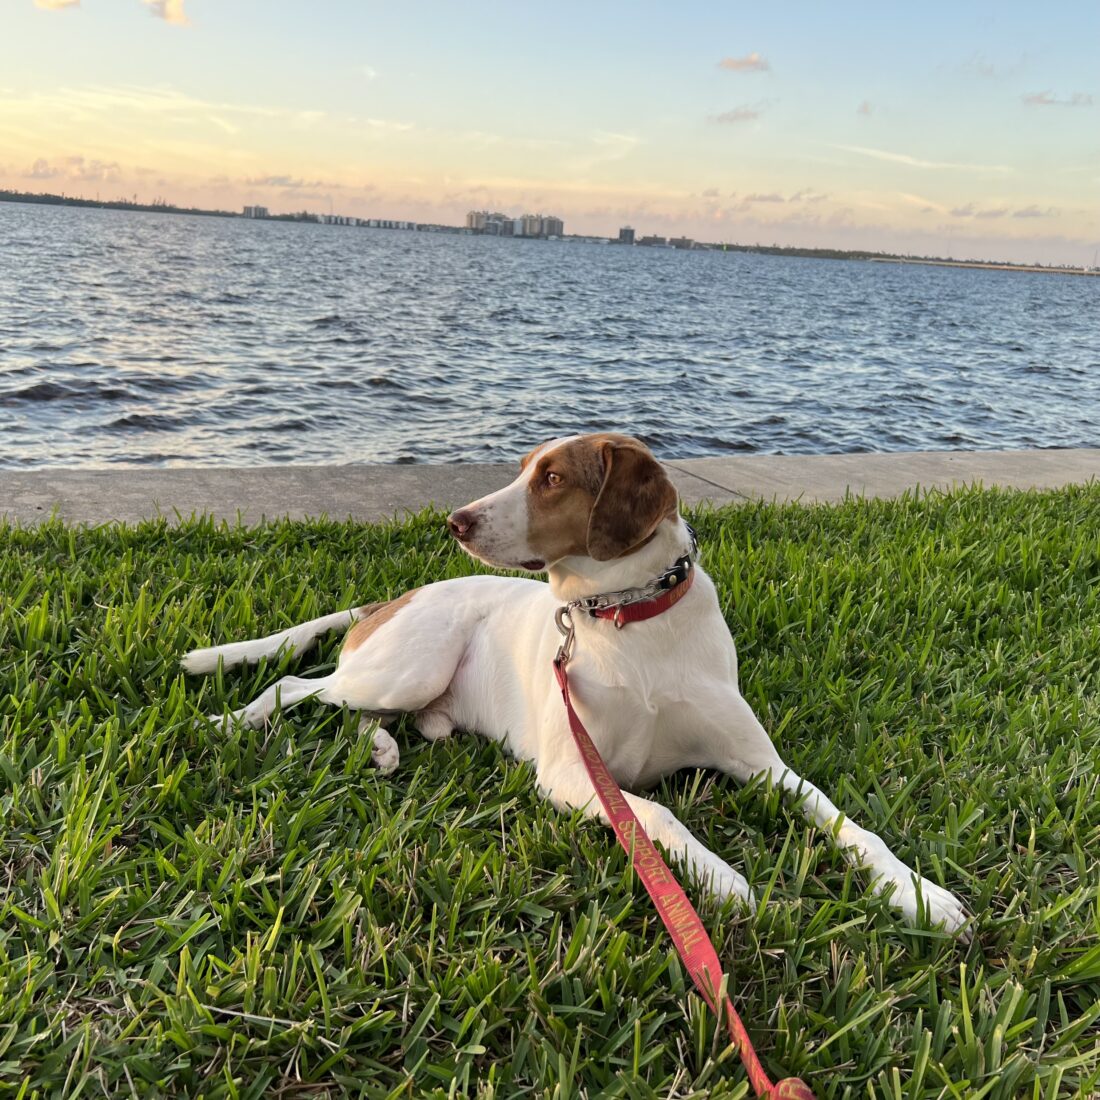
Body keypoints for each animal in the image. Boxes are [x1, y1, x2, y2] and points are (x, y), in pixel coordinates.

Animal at [184, 433, 968, 932]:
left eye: (553, 478)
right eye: (524, 469)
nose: (453, 520)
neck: (627, 620)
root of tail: (393, 598)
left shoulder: (764, 765)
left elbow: (849, 824)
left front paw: (918, 893)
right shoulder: (571, 773)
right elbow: (657, 816)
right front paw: (724, 881)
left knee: (362, 712)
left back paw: (381, 749)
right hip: (408, 666)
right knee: (296, 684)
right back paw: (231, 722)